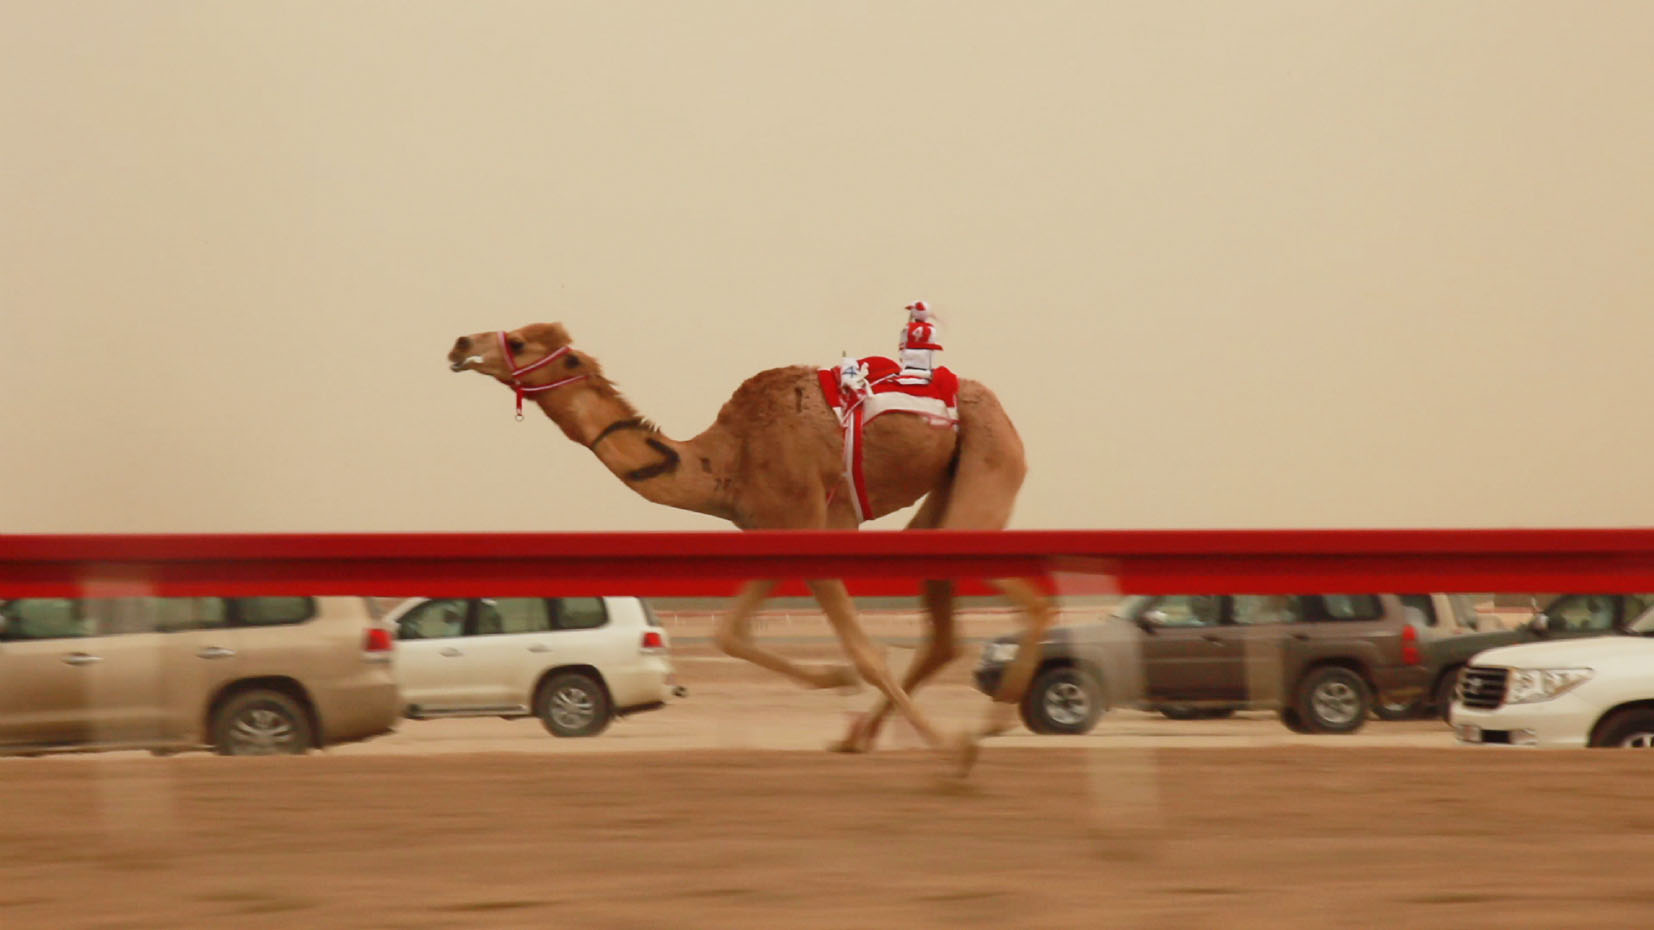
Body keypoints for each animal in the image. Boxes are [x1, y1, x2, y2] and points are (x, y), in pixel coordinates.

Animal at [446, 322, 1051, 771]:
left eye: (517, 342)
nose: (460, 344)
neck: (724, 461)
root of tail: (996, 406)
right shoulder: (773, 530)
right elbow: (729, 632)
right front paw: (837, 681)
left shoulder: (806, 524)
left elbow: (867, 652)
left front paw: (949, 751)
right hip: (943, 500)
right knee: (945, 636)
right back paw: (862, 735)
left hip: (988, 465)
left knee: (1034, 600)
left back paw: (990, 722)